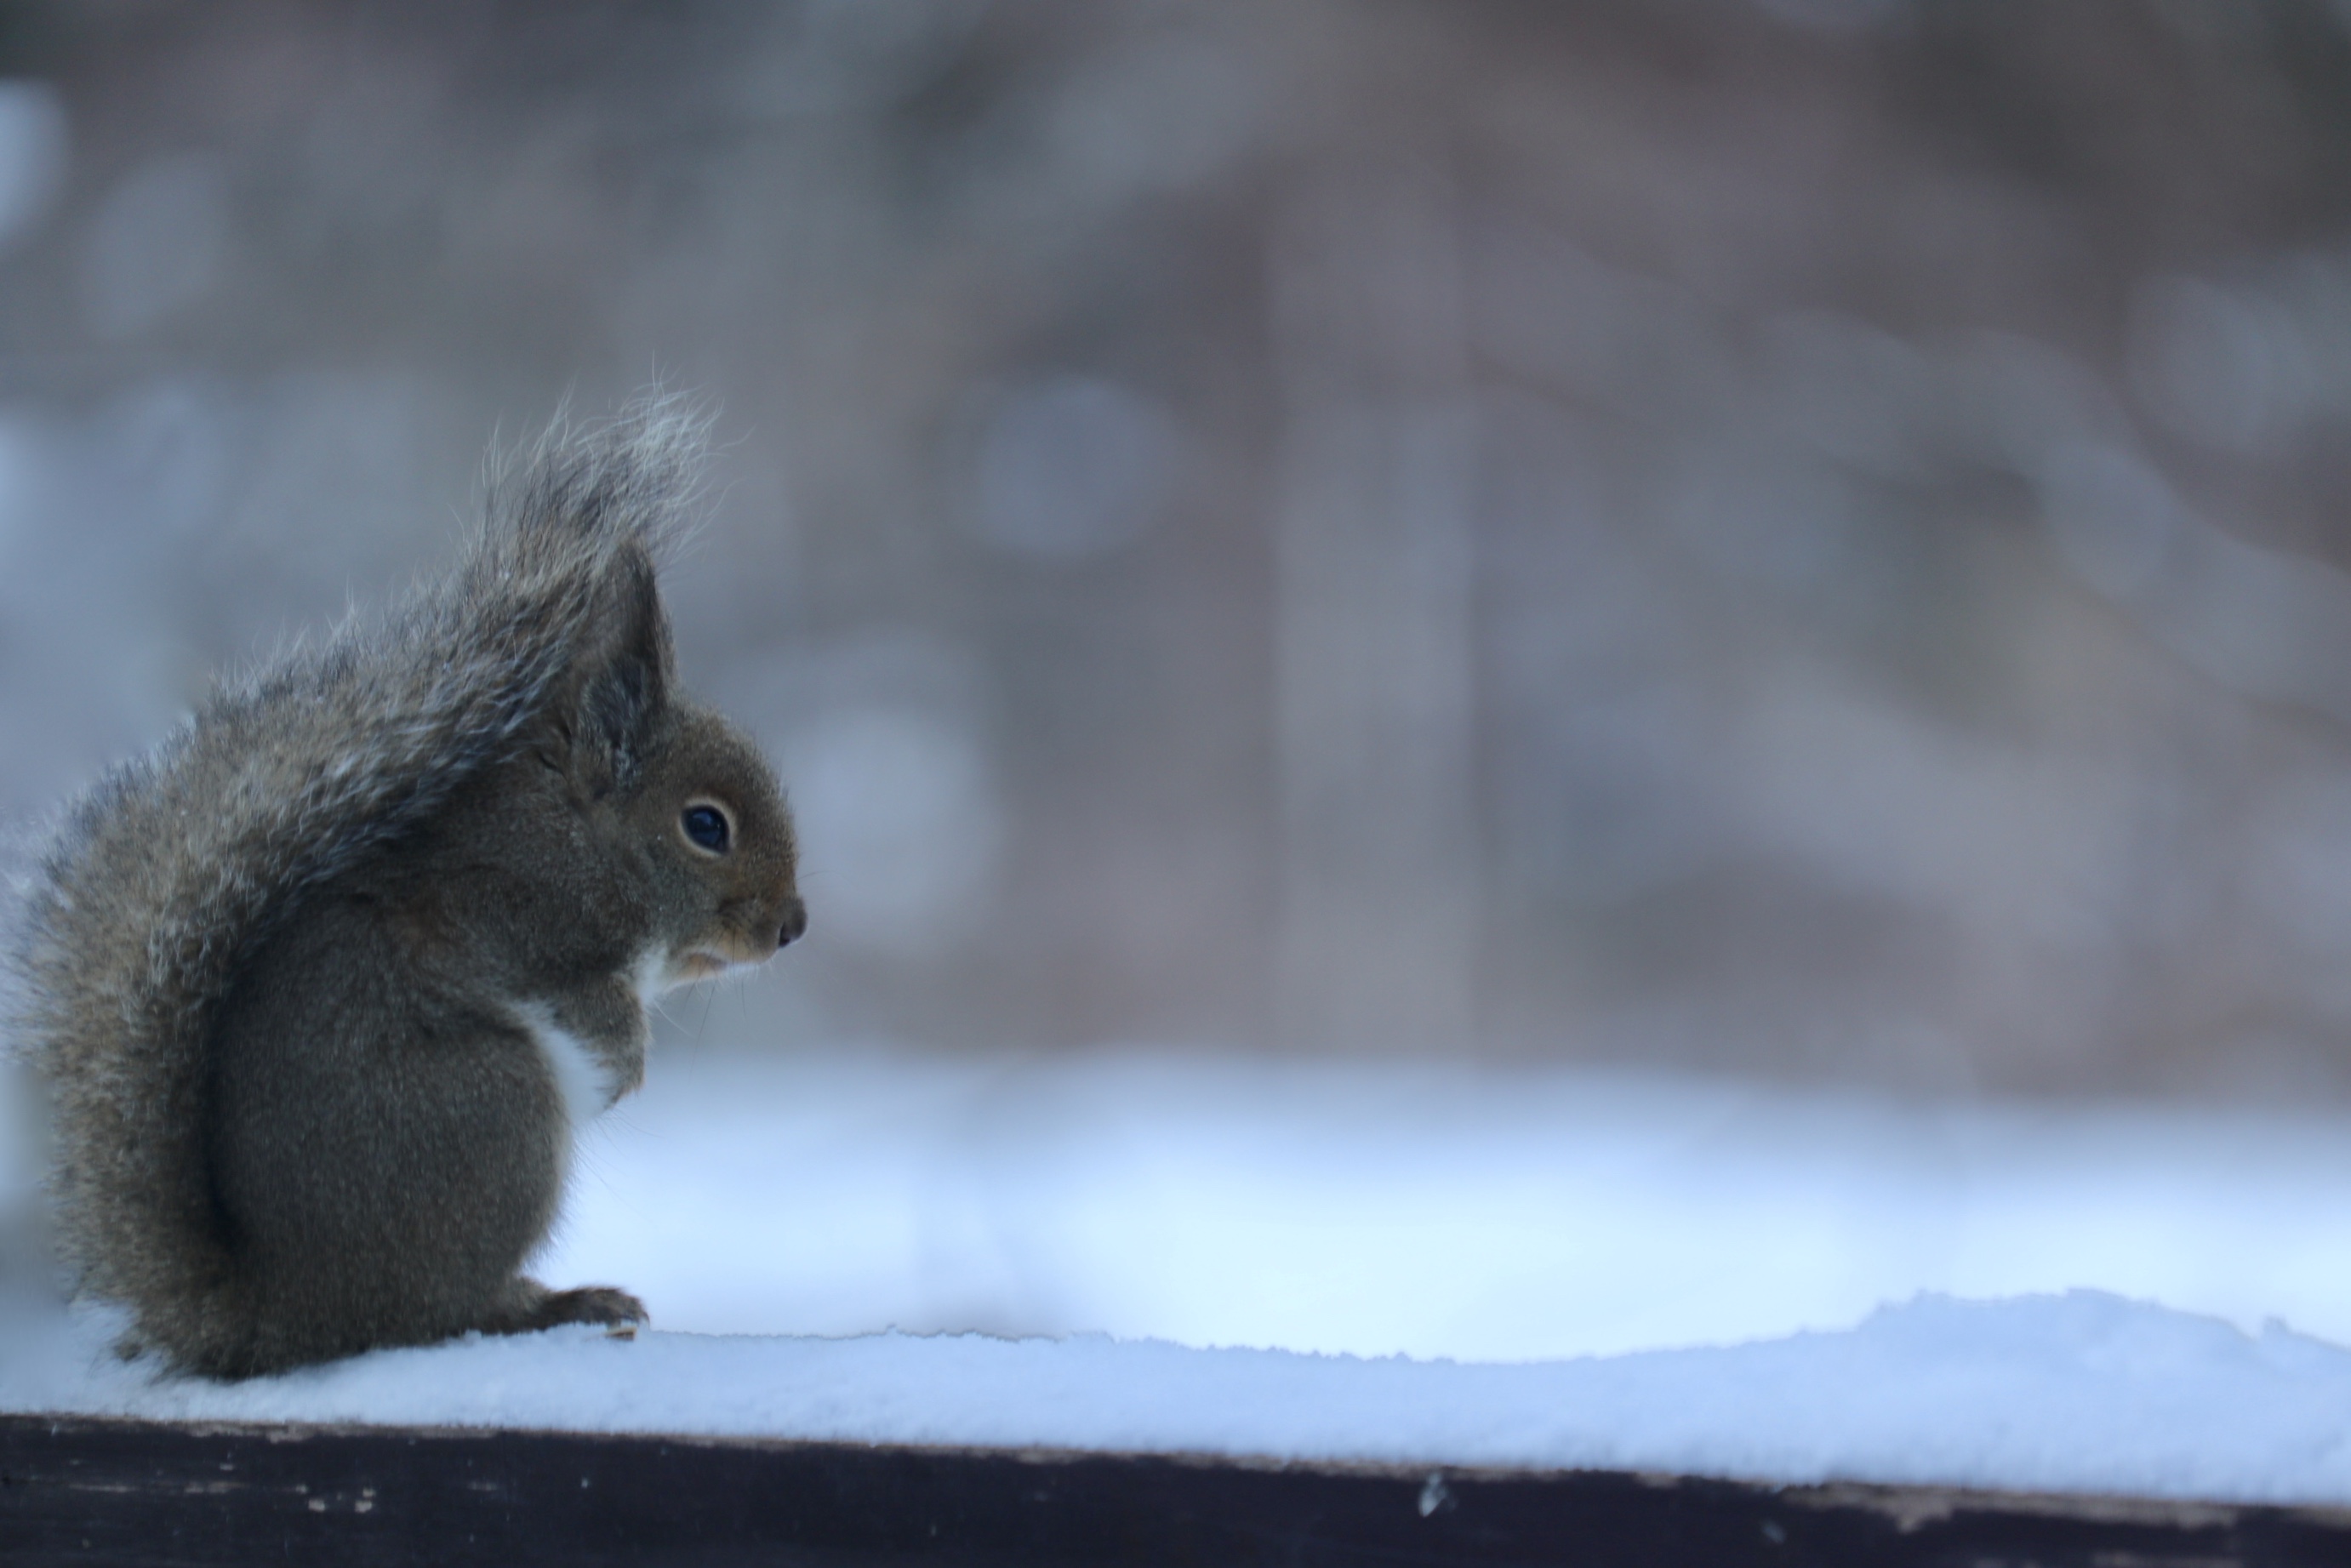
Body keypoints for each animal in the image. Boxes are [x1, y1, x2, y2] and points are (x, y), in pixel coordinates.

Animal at [7, 399, 808, 1382]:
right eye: (706, 825)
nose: (791, 925)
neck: (579, 837)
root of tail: (288, 1314)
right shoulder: (504, 912)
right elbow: (585, 1001)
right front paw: (624, 1063)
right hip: (495, 1112)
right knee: (439, 1311)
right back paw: (557, 1303)